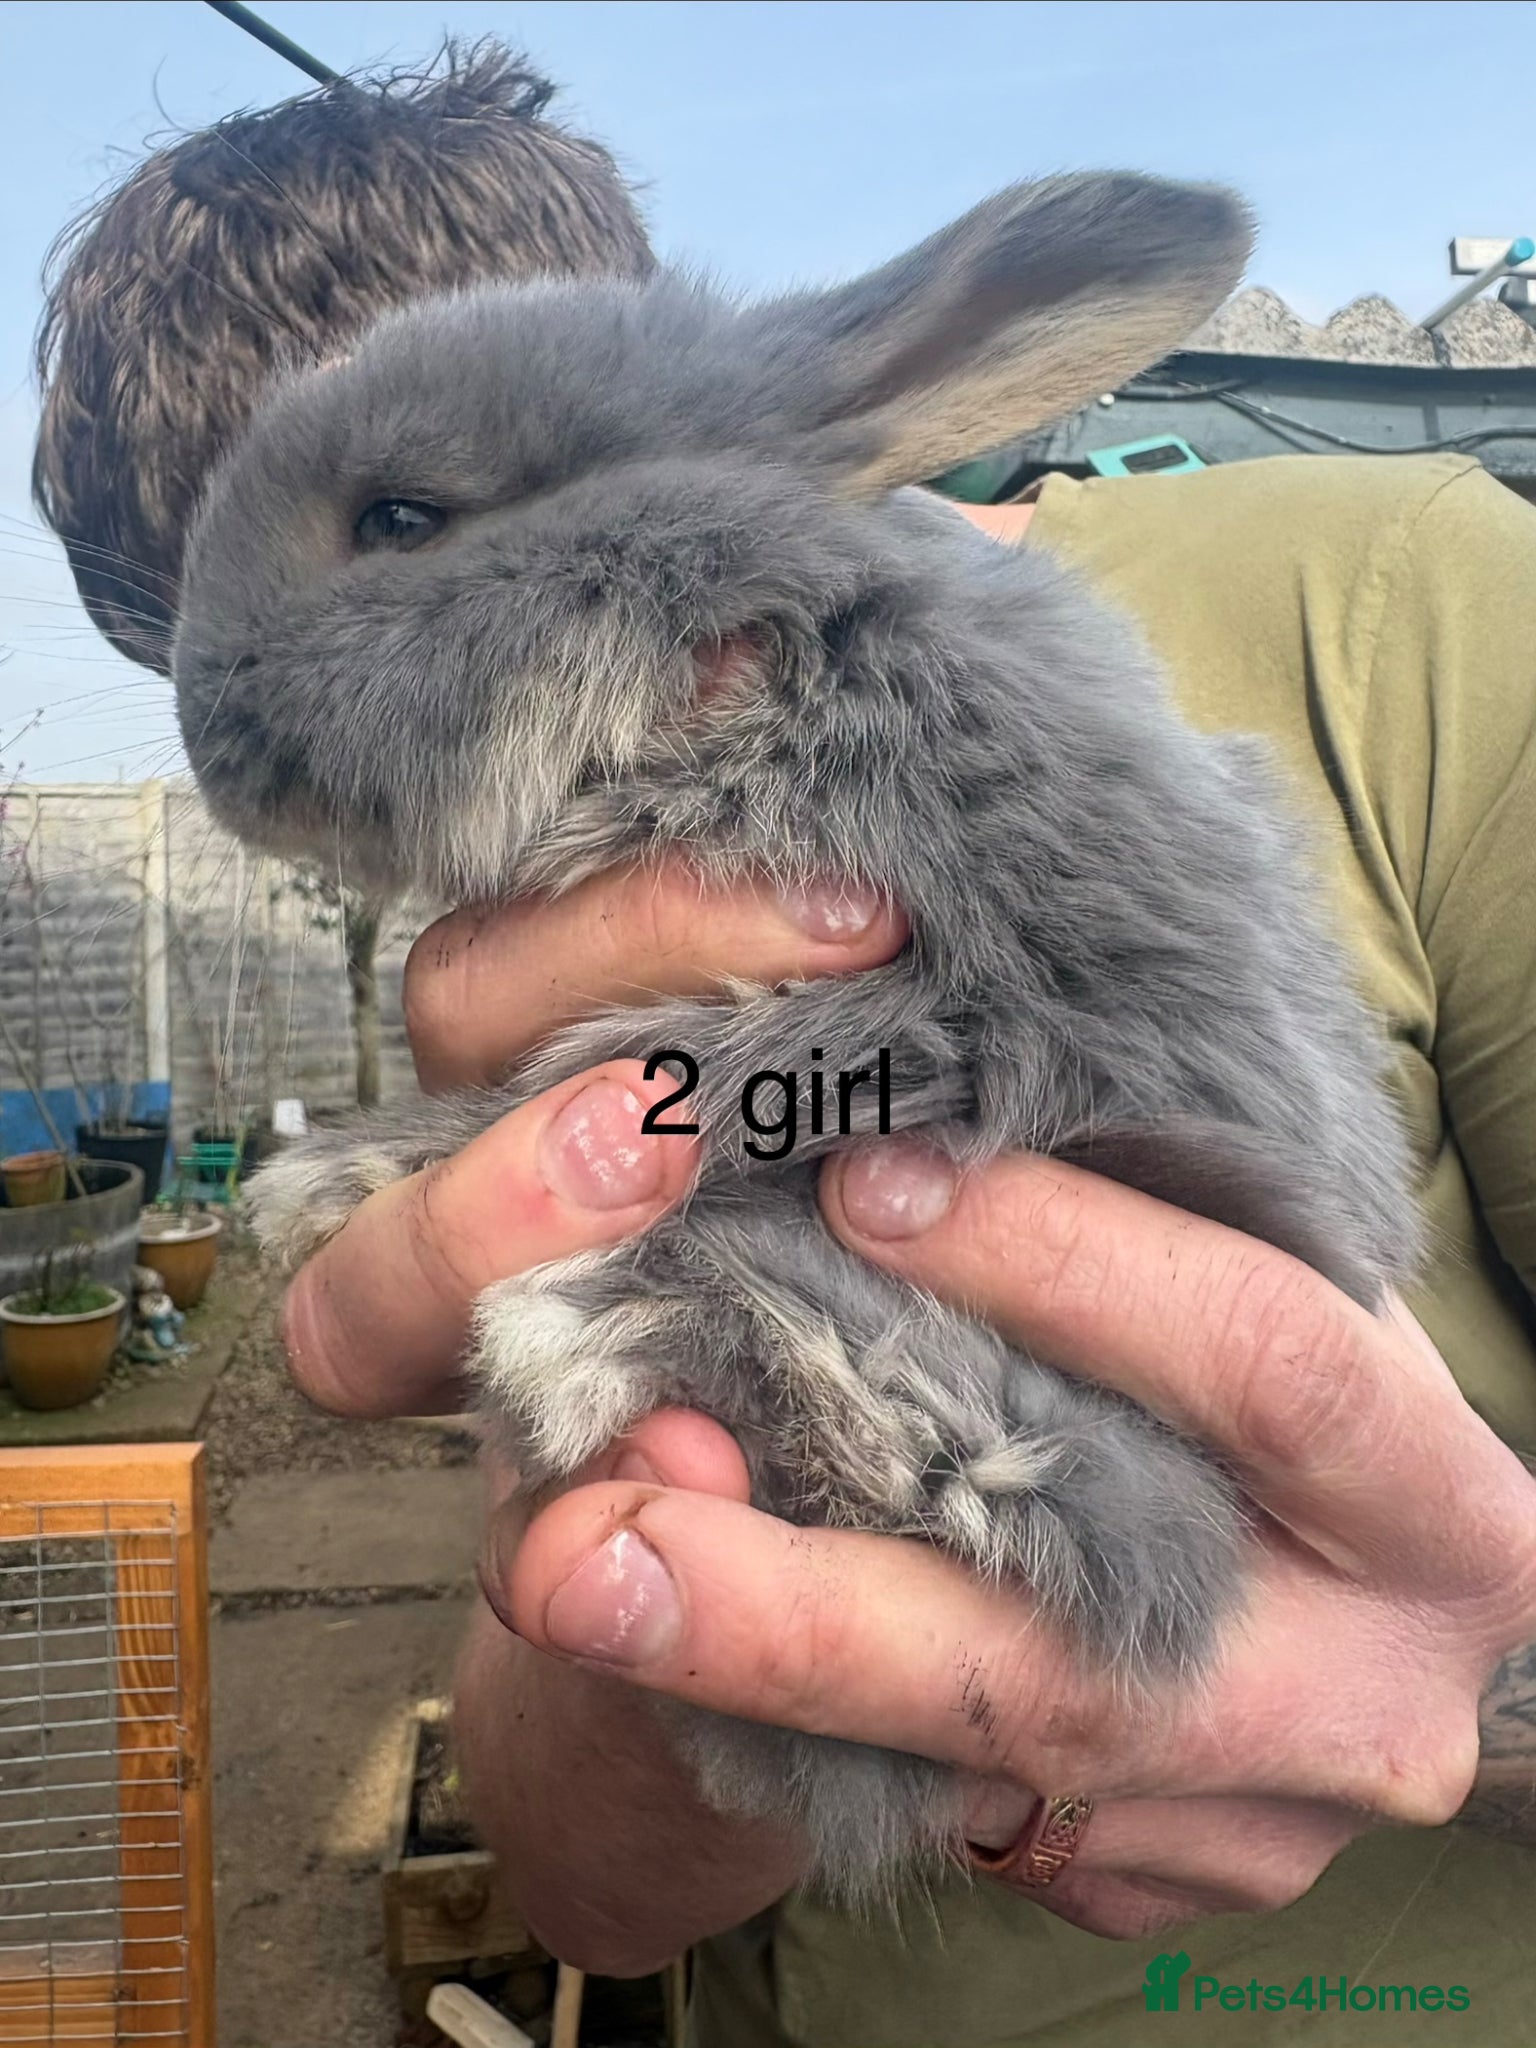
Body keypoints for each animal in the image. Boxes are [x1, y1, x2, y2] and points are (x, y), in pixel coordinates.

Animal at [171, 172, 1420, 1902]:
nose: (200, 726)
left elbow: (653, 1074)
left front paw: (334, 1180)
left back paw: (590, 1328)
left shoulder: (986, 1003)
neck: (759, 631)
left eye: (402, 519)